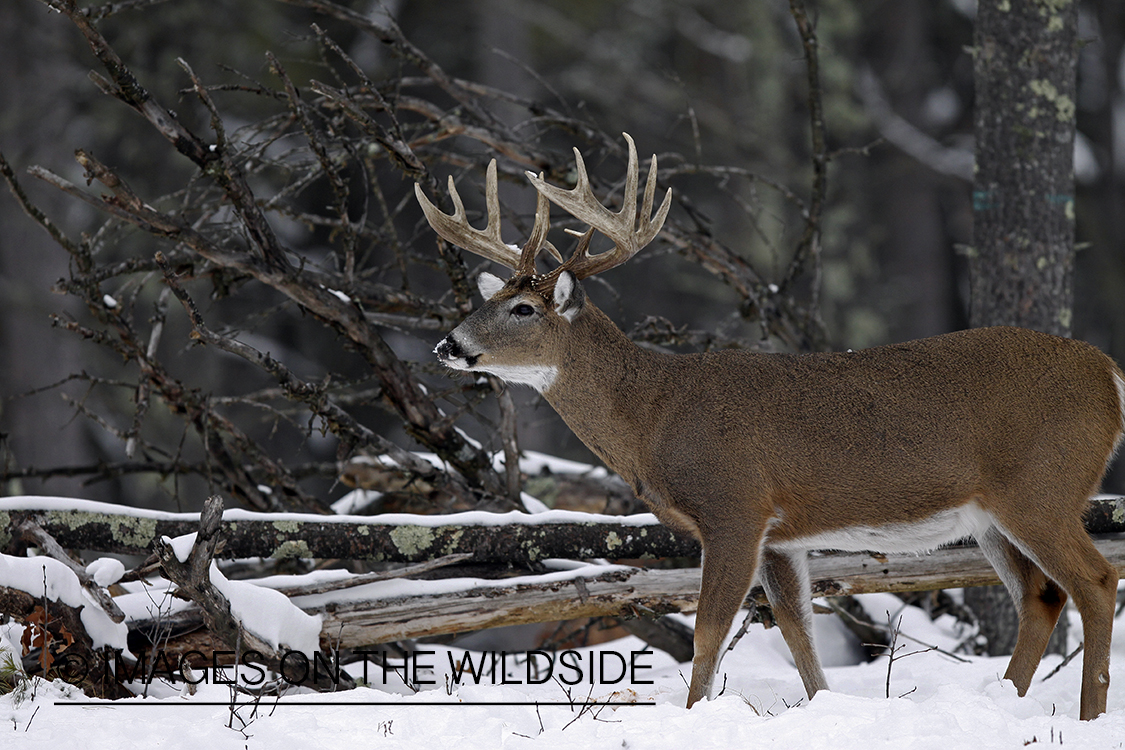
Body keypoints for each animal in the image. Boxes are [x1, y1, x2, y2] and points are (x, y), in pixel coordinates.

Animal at [416, 133, 1125, 719]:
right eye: (491, 299)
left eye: (523, 309)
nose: (449, 345)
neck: (654, 413)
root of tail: (1110, 372)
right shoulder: (783, 534)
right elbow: (798, 633)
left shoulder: (735, 506)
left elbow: (708, 631)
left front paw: (695, 718)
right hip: (990, 514)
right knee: (1041, 596)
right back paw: (1010, 701)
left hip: (1042, 488)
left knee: (1094, 582)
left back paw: (1088, 715)